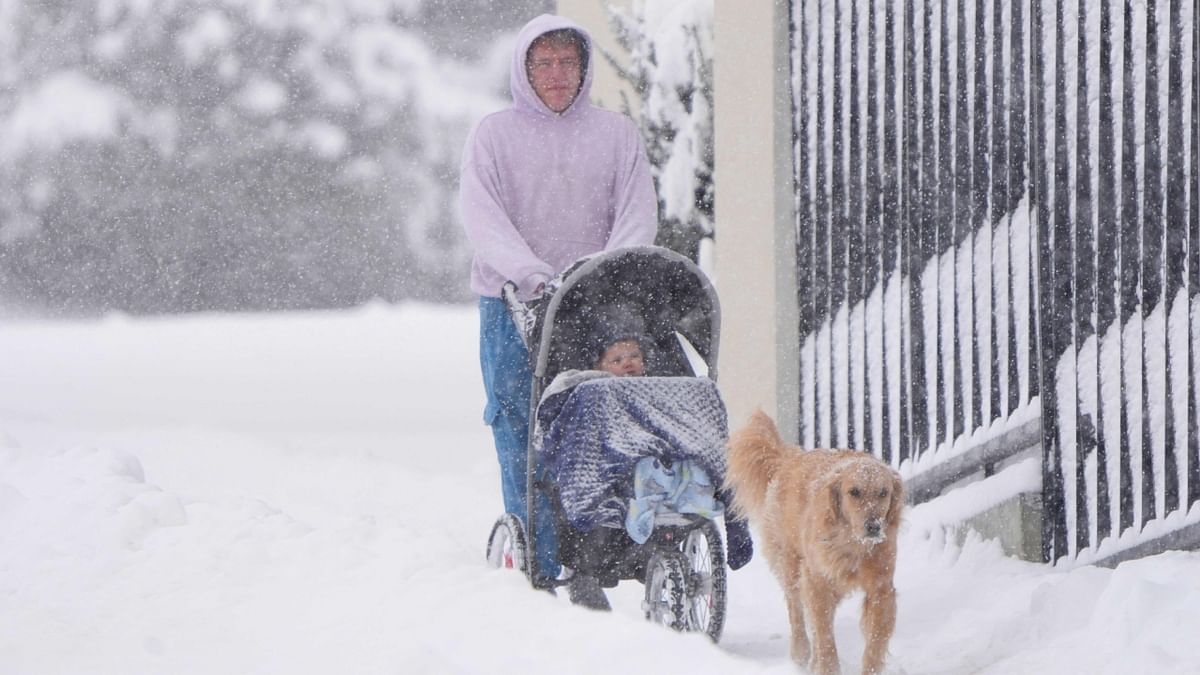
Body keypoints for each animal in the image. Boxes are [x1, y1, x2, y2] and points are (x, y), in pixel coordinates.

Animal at [720, 408, 902, 672]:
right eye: (854, 492)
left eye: (883, 493)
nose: (873, 527)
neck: (852, 545)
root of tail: (789, 458)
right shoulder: (817, 581)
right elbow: (824, 636)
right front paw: (827, 667)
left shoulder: (881, 588)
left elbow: (875, 642)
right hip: (791, 566)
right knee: (796, 610)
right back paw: (801, 653)